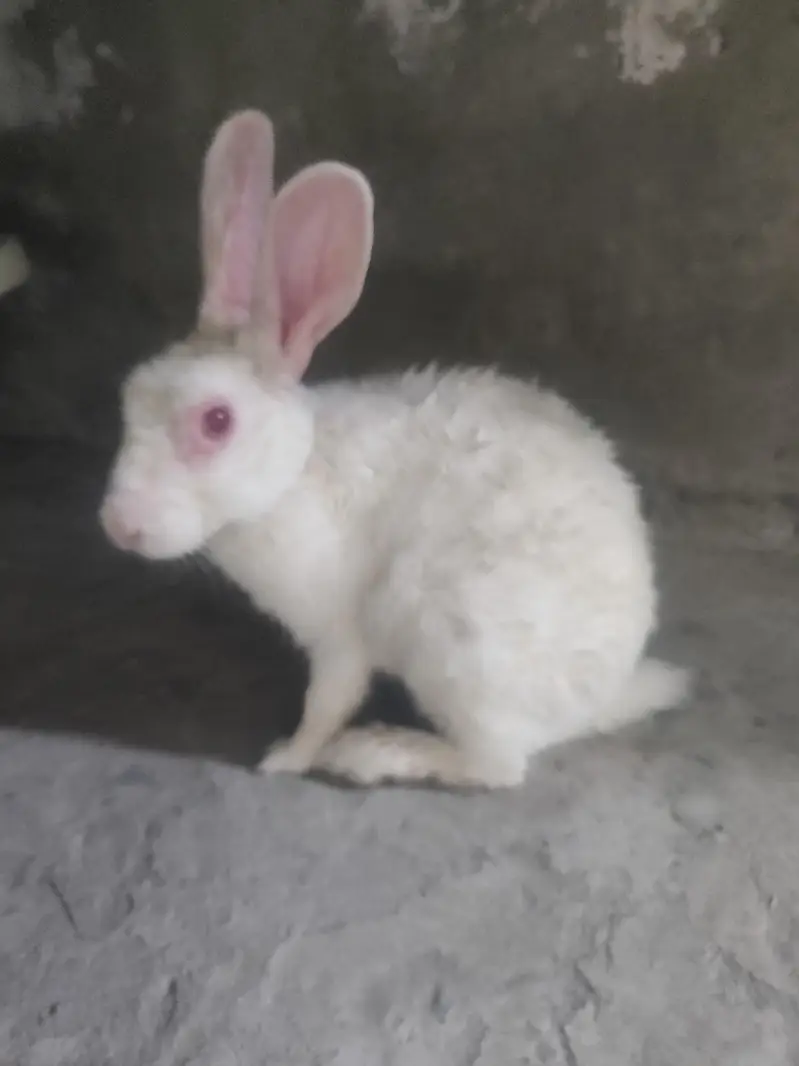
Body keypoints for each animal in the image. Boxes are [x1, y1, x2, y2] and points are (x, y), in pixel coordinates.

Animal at [99, 109, 688, 790]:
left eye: (216, 422)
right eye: (129, 394)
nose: (118, 524)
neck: (292, 478)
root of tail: (604, 694)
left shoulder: (339, 634)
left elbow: (328, 701)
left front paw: (285, 758)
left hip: (458, 647)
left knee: (497, 765)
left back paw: (377, 752)